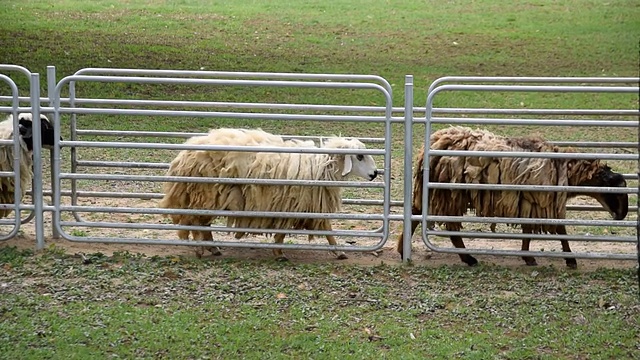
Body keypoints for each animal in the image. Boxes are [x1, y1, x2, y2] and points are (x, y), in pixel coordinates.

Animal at [160, 128, 380, 260]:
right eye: (360, 156)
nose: (374, 174)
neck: (321, 167)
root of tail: (182, 156)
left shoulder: (307, 205)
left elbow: (325, 229)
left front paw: (338, 251)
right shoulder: (297, 204)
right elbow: (322, 229)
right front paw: (280, 252)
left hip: (208, 196)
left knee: (203, 224)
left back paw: (213, 248)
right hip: (203, 193)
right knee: (195, 222)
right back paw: (200, 248)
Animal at [398, 125, 628, 268]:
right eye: (618, 190)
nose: (622, 215)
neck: (564, 169)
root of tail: (433, 143)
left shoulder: (529, 201)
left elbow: (528, 230)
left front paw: (528, 256)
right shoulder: (542, 201)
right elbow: (560, 230)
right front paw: (569, 259)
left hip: (445, 193)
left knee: (422, 215)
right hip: (448, 192)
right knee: (444, 225)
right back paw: (466, 258)